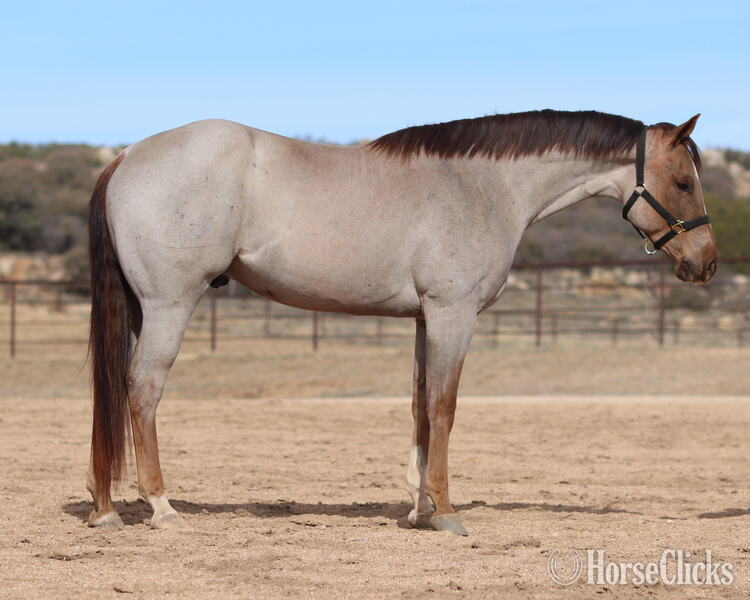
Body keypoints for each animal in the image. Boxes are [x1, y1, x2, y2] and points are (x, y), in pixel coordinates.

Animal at [86, 110, 716, 536]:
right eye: (683, 181)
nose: (705, 263)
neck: (481, 188)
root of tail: (126, 155)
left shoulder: (423, 318)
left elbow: (419, 405)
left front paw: (418, 507)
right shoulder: (453, 314)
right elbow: (445, 406)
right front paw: (447, 511)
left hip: (143, 309)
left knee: (117, 392)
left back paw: (106, 506)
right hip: (170, 304)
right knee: (142, 391)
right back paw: (161, 507)